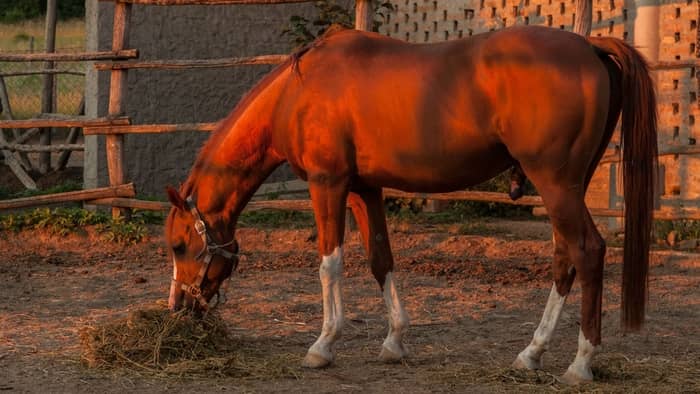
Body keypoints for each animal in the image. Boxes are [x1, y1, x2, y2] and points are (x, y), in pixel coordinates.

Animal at [164, 25, 656, 384]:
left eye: (178, 246)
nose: (178, 307)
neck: (298, 92)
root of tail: (589, 46)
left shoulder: (328, 185)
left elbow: (330, 264)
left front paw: (322, 346)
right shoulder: (365, 190)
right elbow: (380, 259)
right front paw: (394, 342)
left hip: (555, 185)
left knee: (587, 252)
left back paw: (581, 363)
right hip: (567, 187)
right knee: (563, 258)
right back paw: (530, 354)